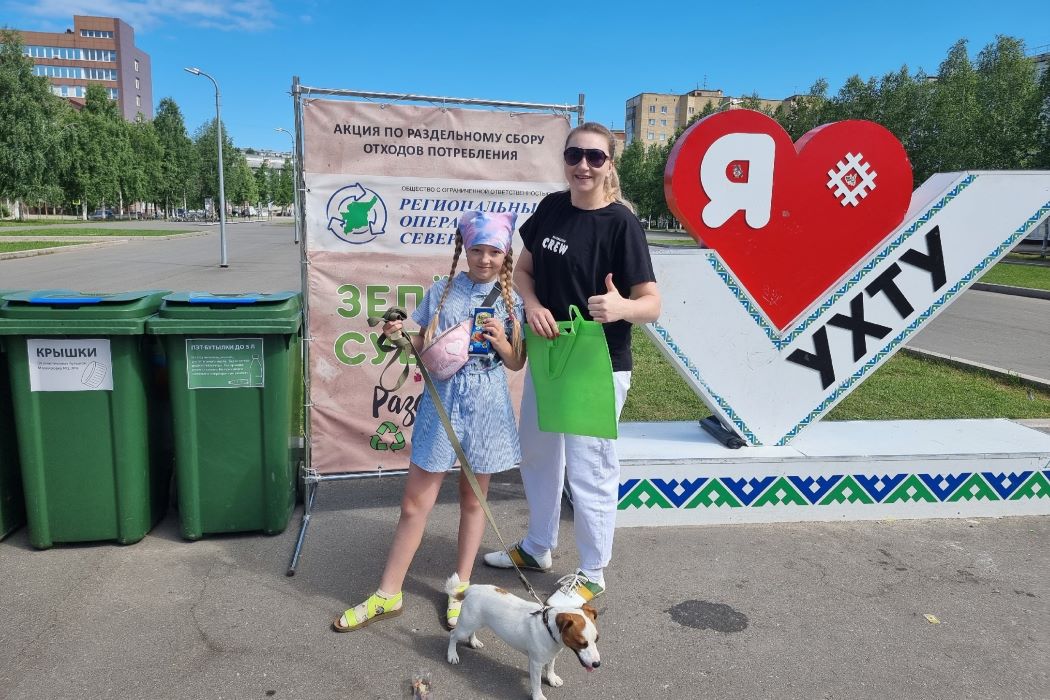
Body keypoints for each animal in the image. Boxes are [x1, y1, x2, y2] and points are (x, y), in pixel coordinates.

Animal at [445, 574, 600, 700]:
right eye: (581, 643)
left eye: (597, 639)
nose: (597, 664)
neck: (548, 627)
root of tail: (472, 589)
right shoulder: (536, 663)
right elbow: (537, 683)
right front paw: (538, 696)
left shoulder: (551, 655)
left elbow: (550, 667)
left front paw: (552, 678)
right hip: (465, 626)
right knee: (453, 636)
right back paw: (452, 654)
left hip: (475, 622)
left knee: (471, 632)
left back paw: (473, 641)